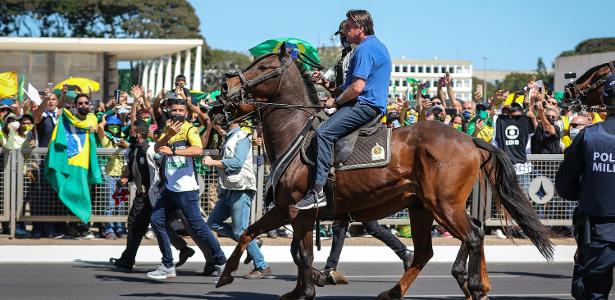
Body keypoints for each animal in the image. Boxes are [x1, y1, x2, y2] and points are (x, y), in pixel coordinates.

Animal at [215, 47, 552, 300]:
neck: (297, 134)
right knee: (429, 250)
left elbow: (302, 253)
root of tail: (469, 140)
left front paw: (306, 289)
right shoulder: (285, 210)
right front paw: (229, 275)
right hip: (423, 207)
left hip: (443, 204)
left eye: (263, 66)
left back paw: (472, 284)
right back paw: (400, 290)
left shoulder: (301, 212)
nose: (223, 89)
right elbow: (251, 234)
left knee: (473, 235)